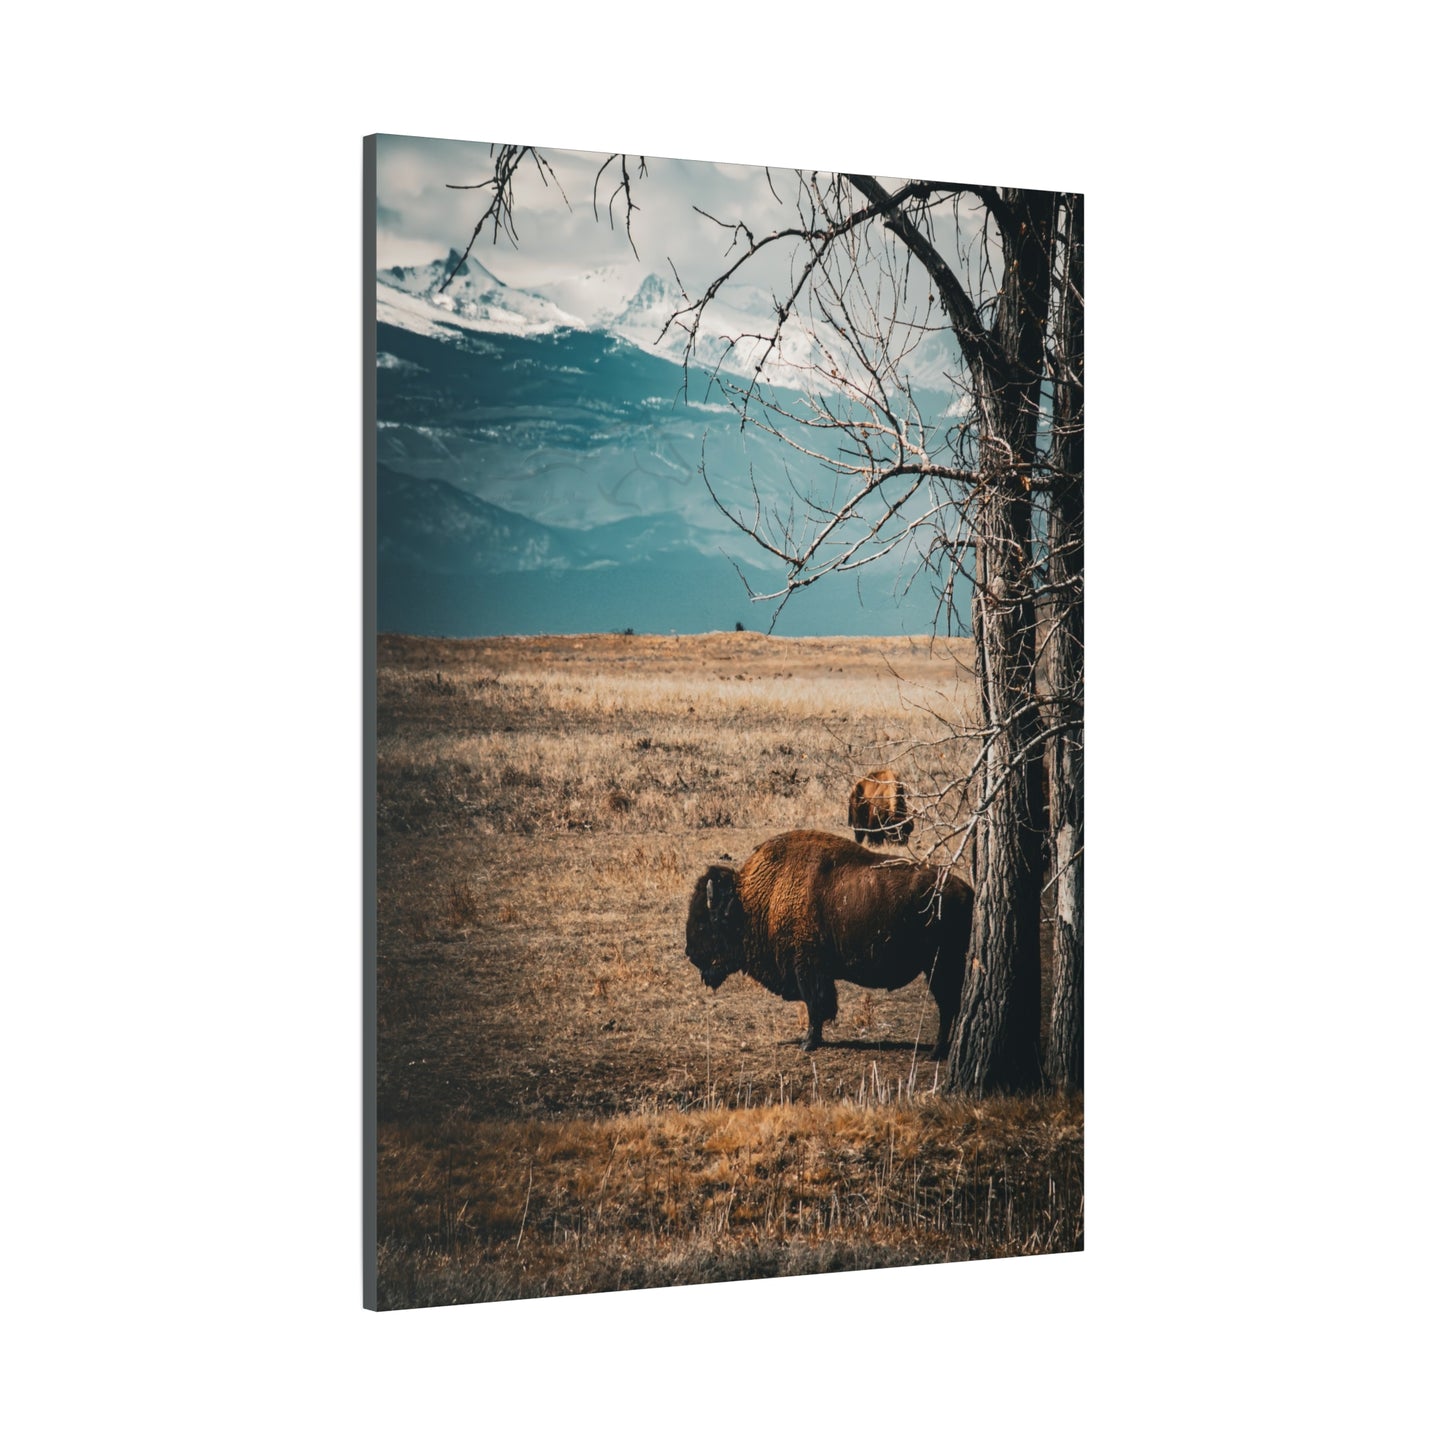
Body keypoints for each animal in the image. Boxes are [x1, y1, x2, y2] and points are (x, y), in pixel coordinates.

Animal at [684, 829, 972, 1058]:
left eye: (703, 922)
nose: (690, 953)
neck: (756, 899)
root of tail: (966, 891)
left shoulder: (807, 968)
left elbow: (816, 1005)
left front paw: (808, 1043)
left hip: (938, 966)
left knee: (948, 1005)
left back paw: (936, 1052)